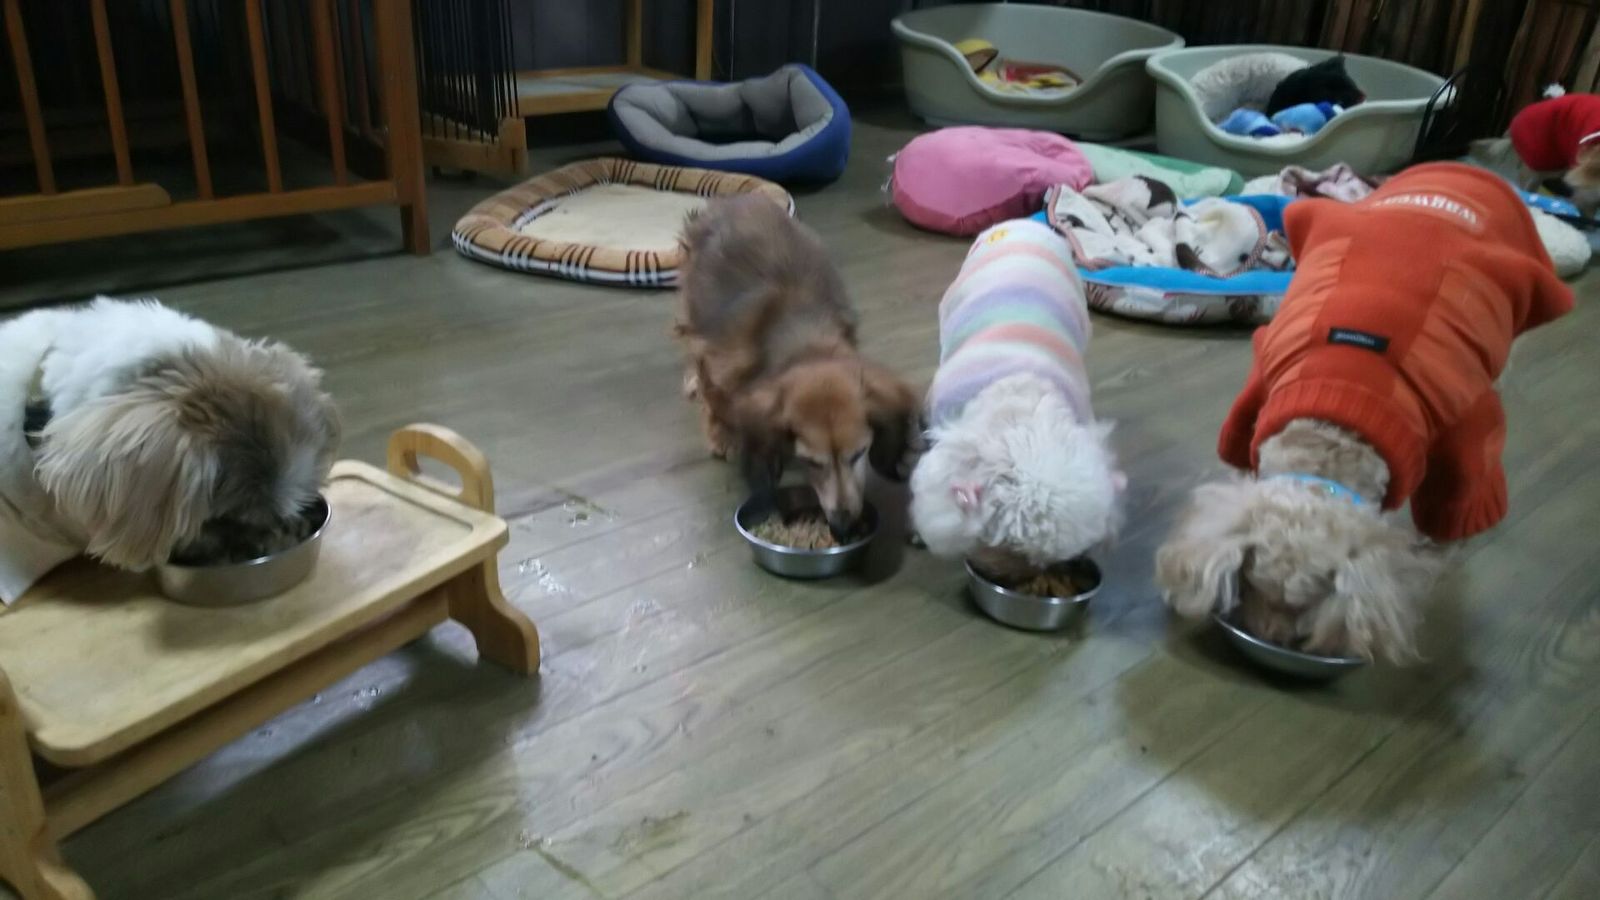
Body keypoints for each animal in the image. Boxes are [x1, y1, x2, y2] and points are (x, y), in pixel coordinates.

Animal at [674, 194, 921, 537]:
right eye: (812, 462)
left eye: (859, 454)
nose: (843, 527)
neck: (804, 339)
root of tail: (736, 200)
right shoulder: (719, 364)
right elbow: (717, 400)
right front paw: (723, 436)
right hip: (695, 310)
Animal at [1155, 163, 1573, 662]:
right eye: (1251, 584)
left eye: (1304, 605)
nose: (1269, 639)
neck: (1335, 430)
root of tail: (1464, 169)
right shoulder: (1259, 386)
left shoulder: (1466, 427)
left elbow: (1462, 492)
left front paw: (1440, 551)